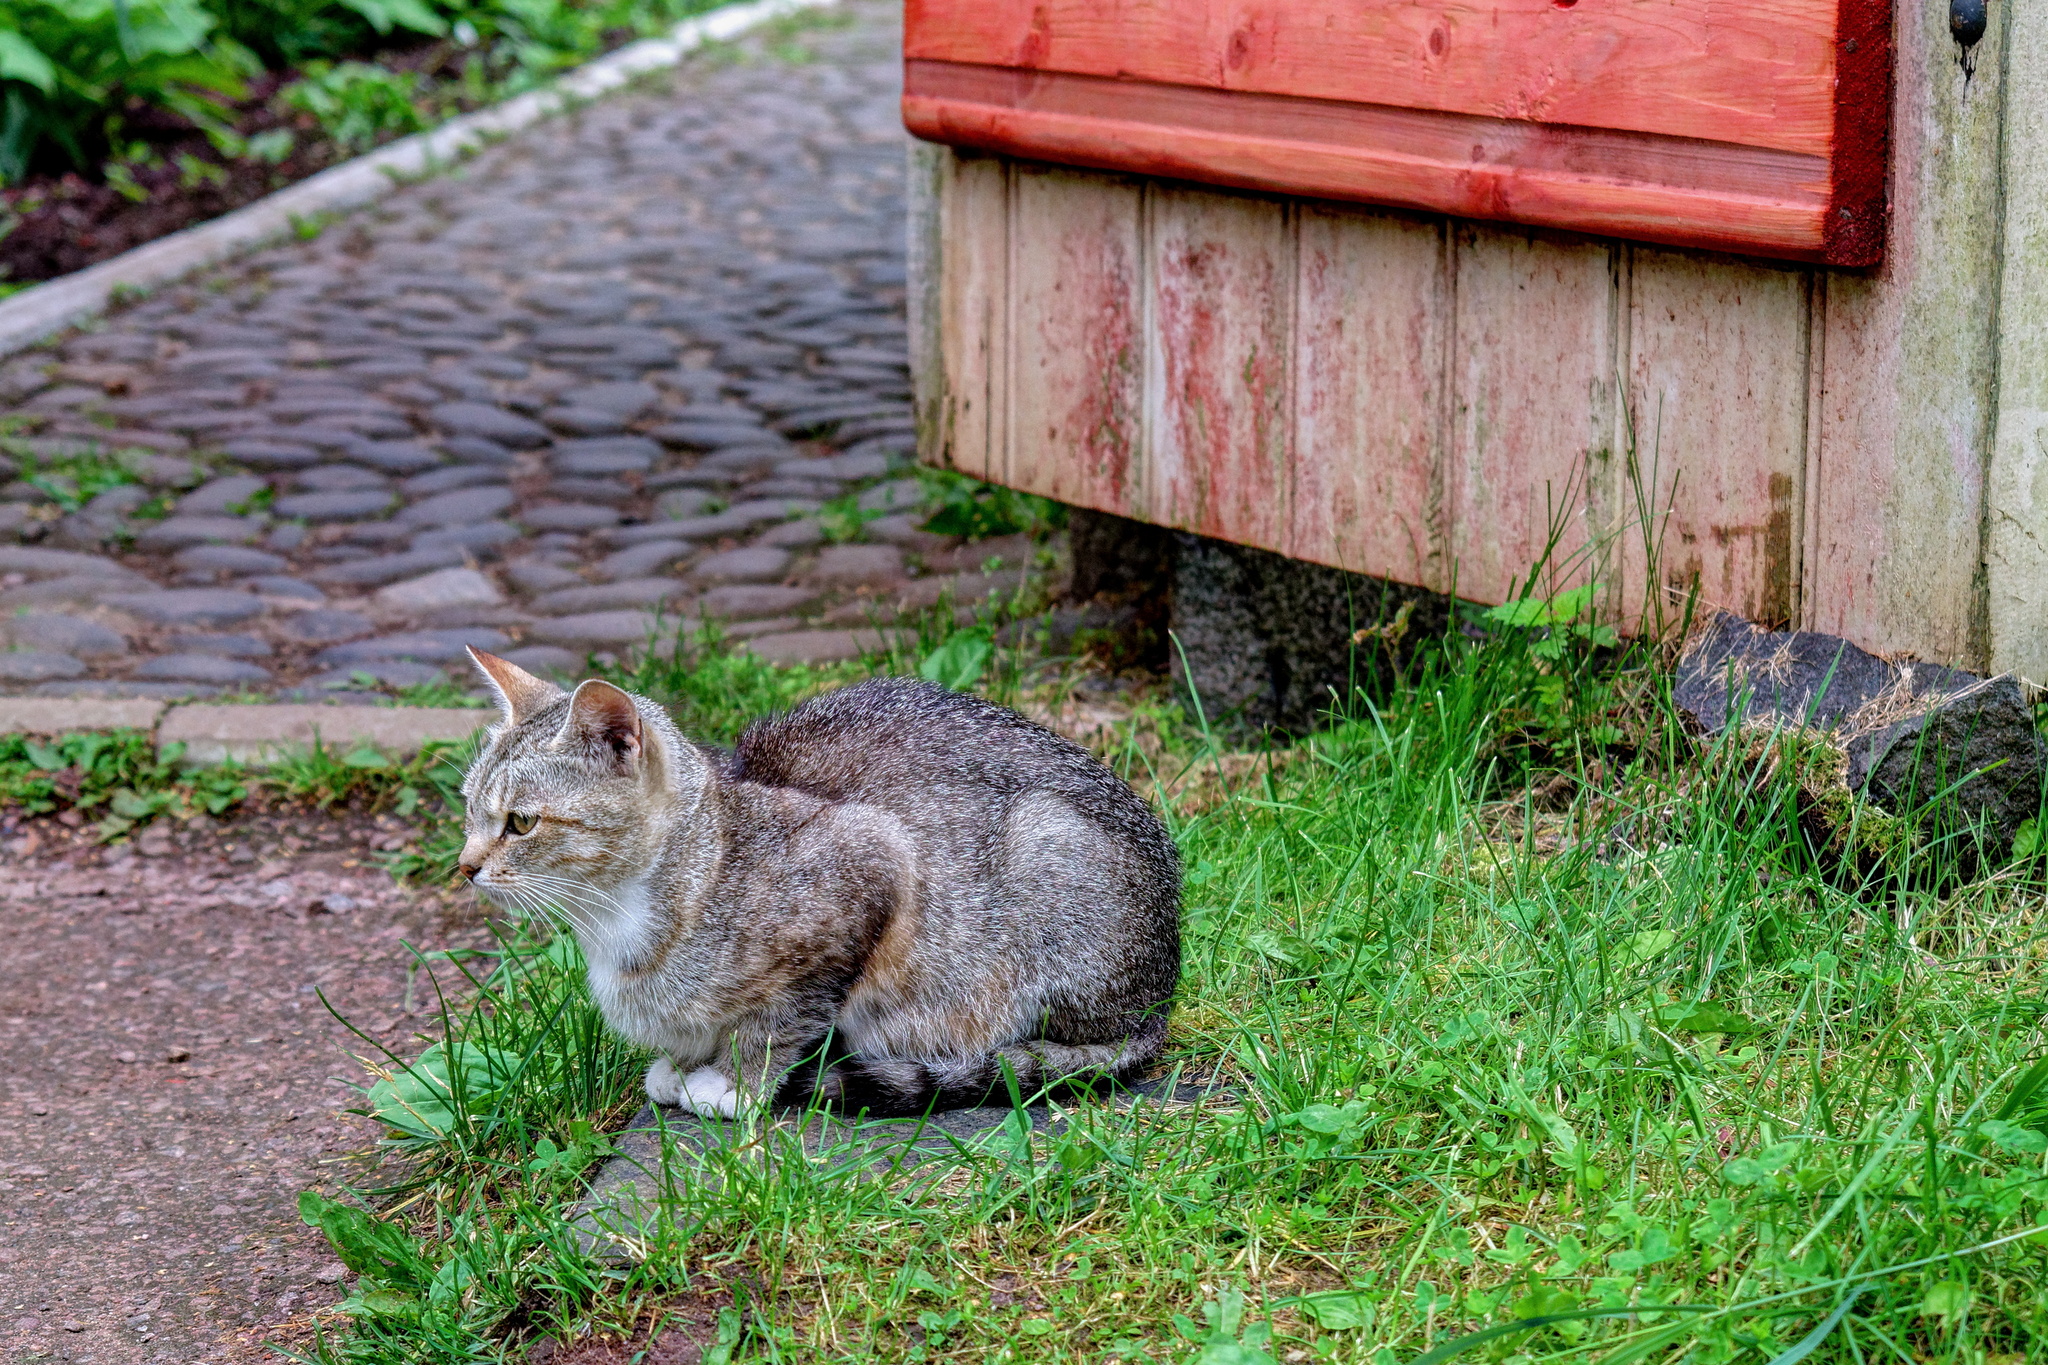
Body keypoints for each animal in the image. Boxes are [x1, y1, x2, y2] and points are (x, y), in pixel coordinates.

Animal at [454, 650, 1179, 1121]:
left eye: (520, 821)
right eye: (469, 810)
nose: (464, 865)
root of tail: (1163, 995)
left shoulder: (872, 862)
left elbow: (784, 1016)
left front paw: (736, 1082)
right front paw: (684, 1062)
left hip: (1043, 856)